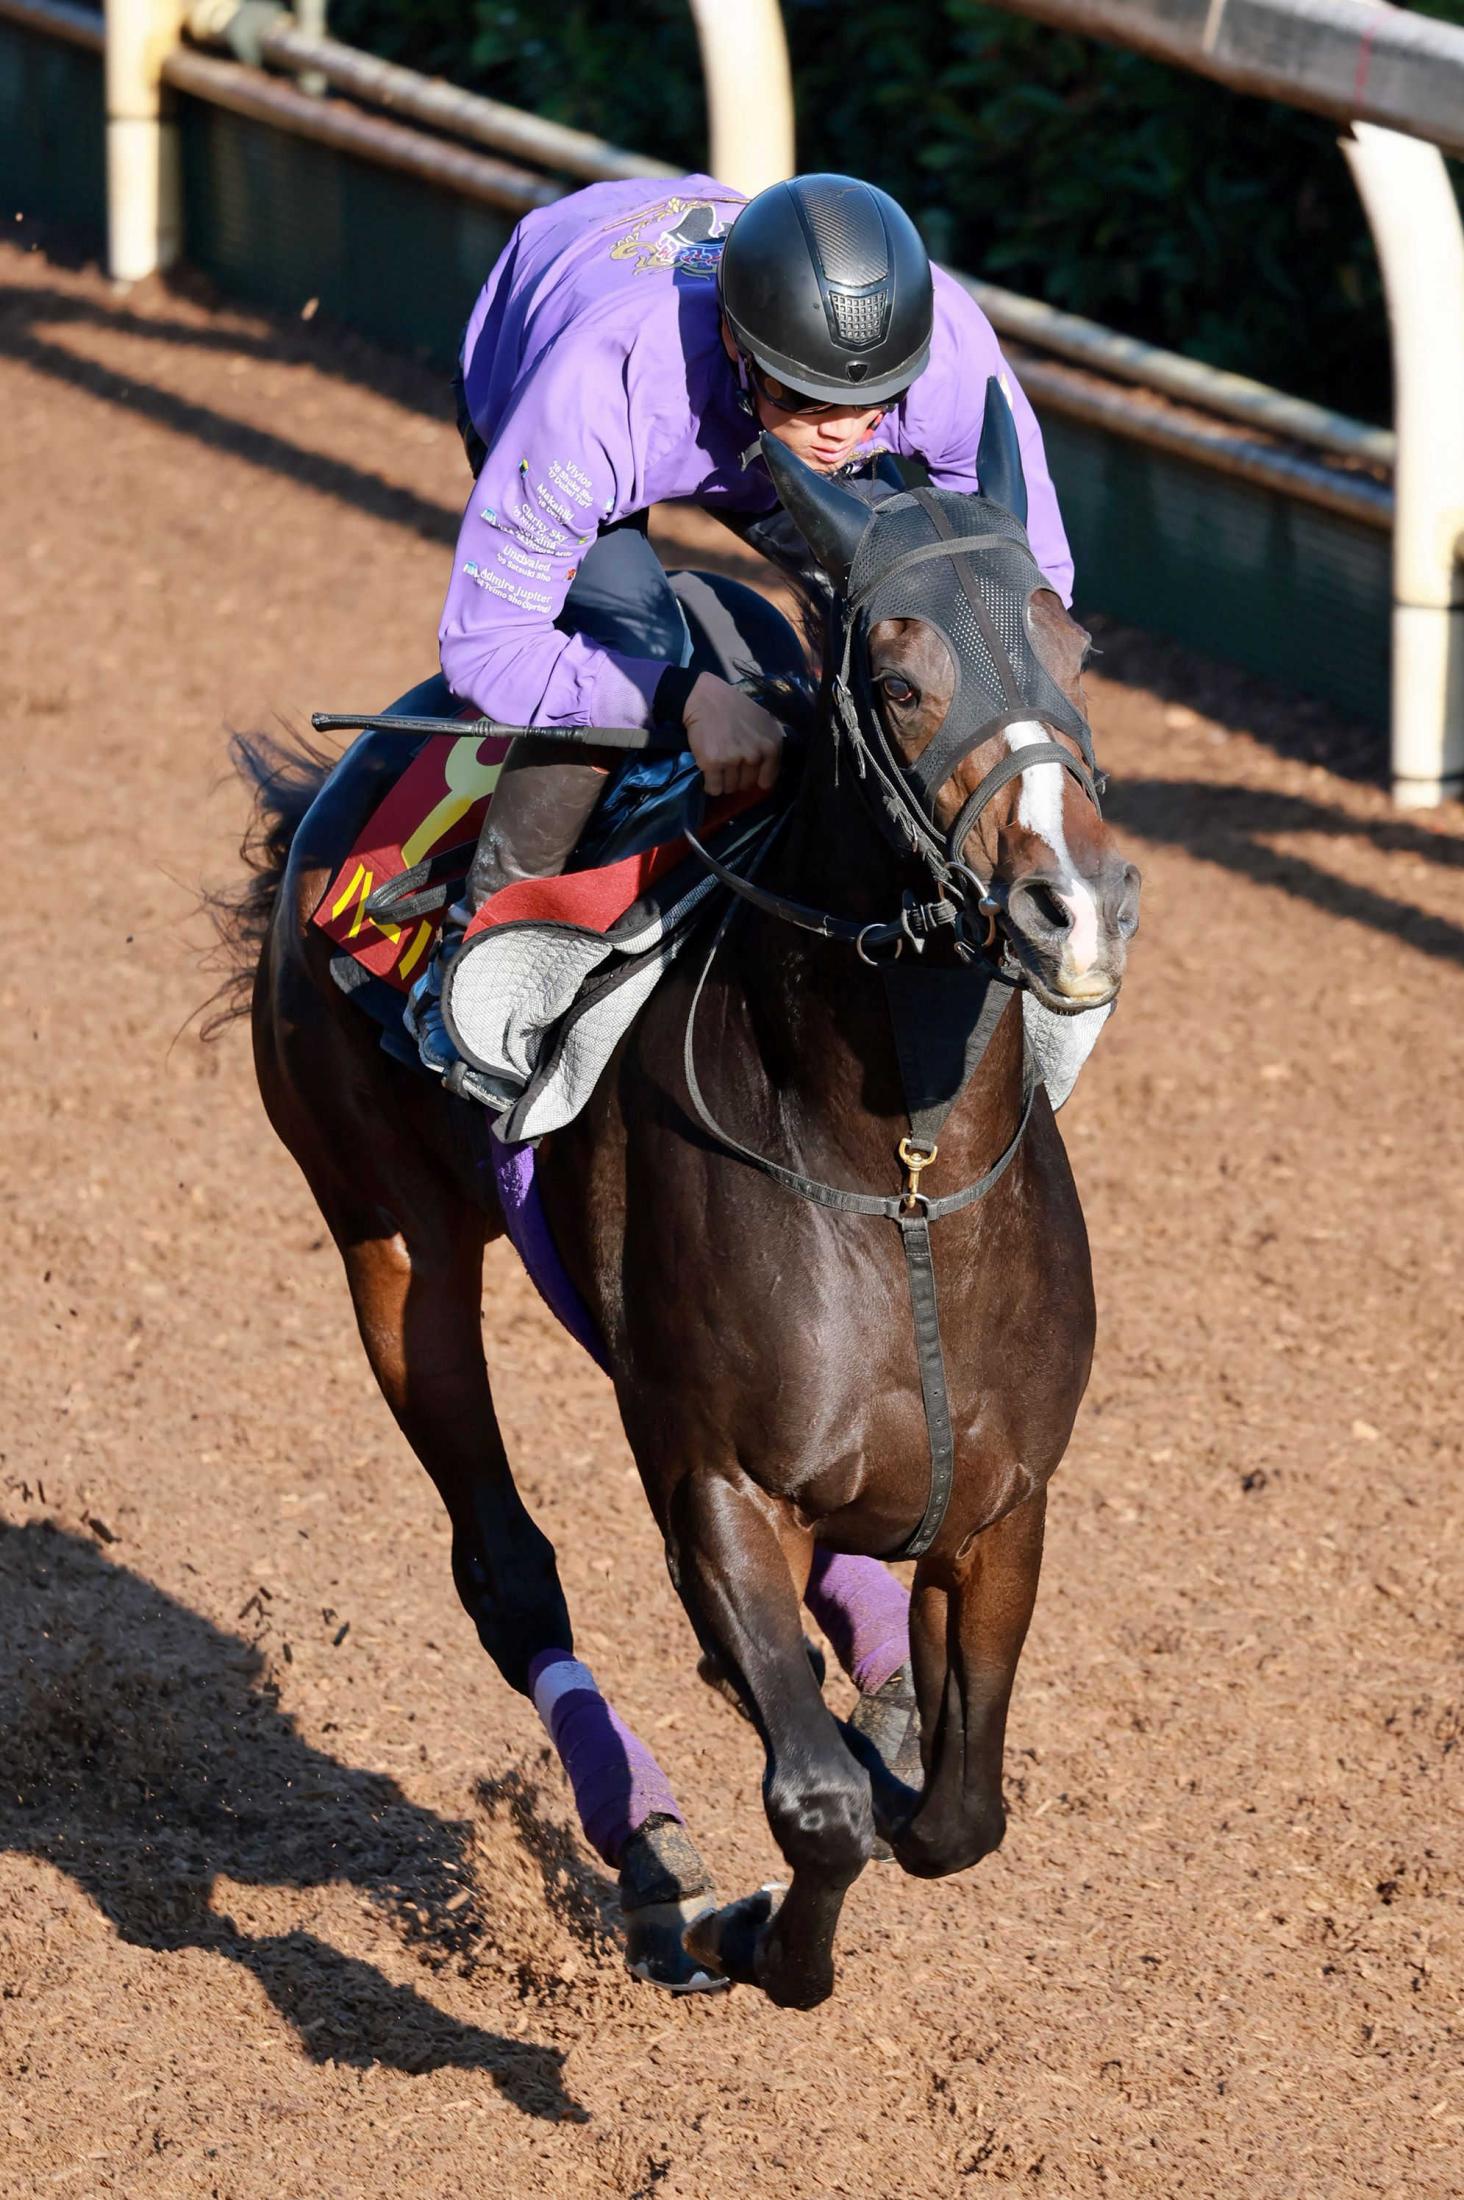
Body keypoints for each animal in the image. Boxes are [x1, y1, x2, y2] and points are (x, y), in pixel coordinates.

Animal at [214, 396, 1144, 2015]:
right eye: (897, 679)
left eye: (1073, 651)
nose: (1074, 908)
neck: (897, 1182)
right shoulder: (710, 1475)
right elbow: (819, 1806)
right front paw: (750, 1926)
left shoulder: (1006, 1504)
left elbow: (956, 1813)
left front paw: (887, 1746)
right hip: (390, 1242)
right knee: (507, 1569)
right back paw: (652, 1847)